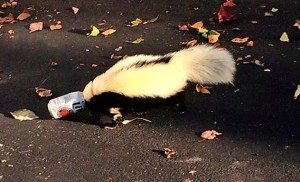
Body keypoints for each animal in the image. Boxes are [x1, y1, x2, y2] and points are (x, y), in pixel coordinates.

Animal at [82, 45, 237, 124]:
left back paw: (181, 108)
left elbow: (113, 108)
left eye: (90, 104)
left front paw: (115, 116)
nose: (88, 112)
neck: (99, 88)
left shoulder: (113, 96)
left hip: (172, 90)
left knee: (180, 97)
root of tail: (178, 63)